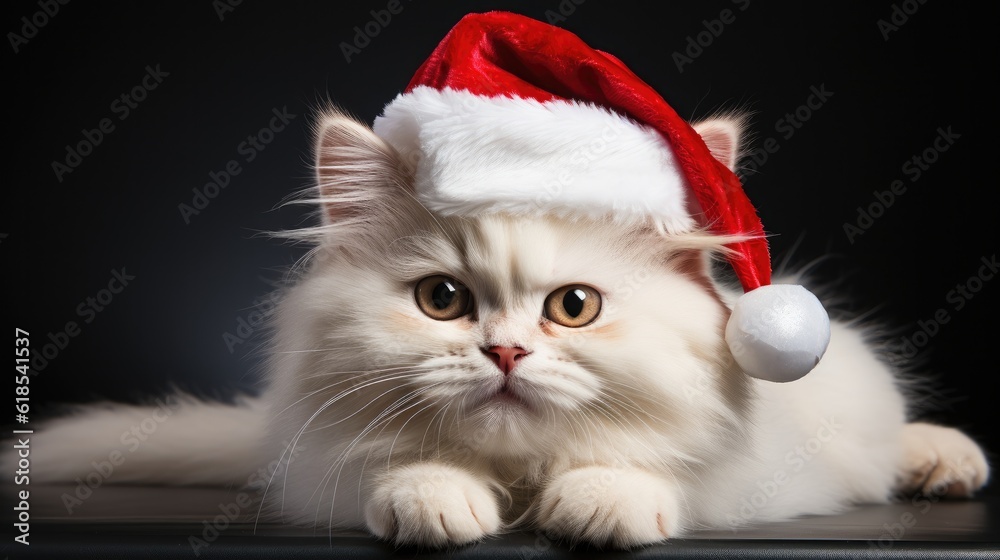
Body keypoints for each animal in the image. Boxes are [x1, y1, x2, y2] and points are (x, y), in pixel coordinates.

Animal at [19, 109, 988, 548]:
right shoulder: (321, 463)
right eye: (443, 300)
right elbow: (407, 469)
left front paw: (598, 502)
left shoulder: (752, 468)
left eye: (574, 307)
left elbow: (643, 462)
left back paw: (944, 459)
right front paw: (436, 500)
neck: (523, 476)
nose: (506, 351)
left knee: (893, 443)